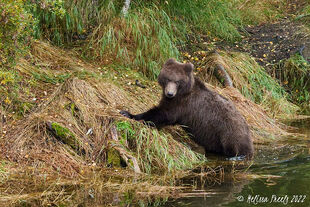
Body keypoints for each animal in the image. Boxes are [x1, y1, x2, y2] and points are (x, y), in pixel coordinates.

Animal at [120, 57, 253, 157]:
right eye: (167, 78)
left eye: (177, 81)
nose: (169, 93)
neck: (181, 93)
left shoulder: (182, 105)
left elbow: (162, 114)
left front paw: (129, 114)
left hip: (228, 134)